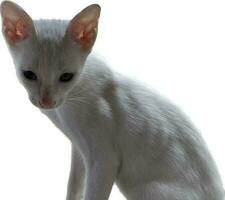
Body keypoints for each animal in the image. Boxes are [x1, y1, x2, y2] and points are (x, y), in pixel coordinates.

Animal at [0, 0, 224, 199]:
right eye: (29, 75)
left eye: (66, 77)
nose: (46, 101)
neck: (66, 108)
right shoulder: (80, 150)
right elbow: (73, 186)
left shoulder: (104, 160)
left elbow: (93, 194)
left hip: (146, 189)